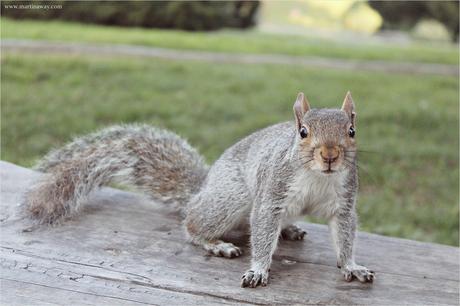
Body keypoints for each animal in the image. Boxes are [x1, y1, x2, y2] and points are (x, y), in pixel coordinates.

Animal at [24, 91, 374, 286]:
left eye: (352, 130)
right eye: (302, 132)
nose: (330, 155)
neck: (319, 176)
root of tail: (202, 190)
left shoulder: (343, 203)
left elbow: (345, 237)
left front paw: (352, 266)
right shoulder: (272, 194)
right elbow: (262, 231)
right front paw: (258, 270)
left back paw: (289, 230)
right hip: (231, 198)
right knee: (193, 224)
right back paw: (215, 243)